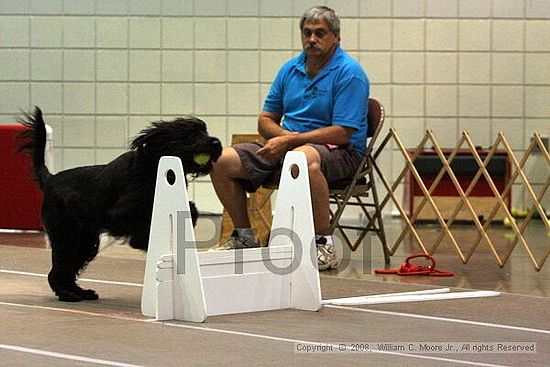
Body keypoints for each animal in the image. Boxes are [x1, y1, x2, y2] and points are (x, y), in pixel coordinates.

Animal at [18, 106, 223, 302]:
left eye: (204, 130)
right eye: (190, 134)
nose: (216, 143)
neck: (150, 166)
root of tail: (50, 179)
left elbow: (191, 208)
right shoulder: (119, 215)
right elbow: (141, 224)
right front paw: (141, 241)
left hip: (84, 241)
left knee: (67, 270)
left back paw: (79, 292)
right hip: (65, 235)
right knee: (57, 270)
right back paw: (68, 295)